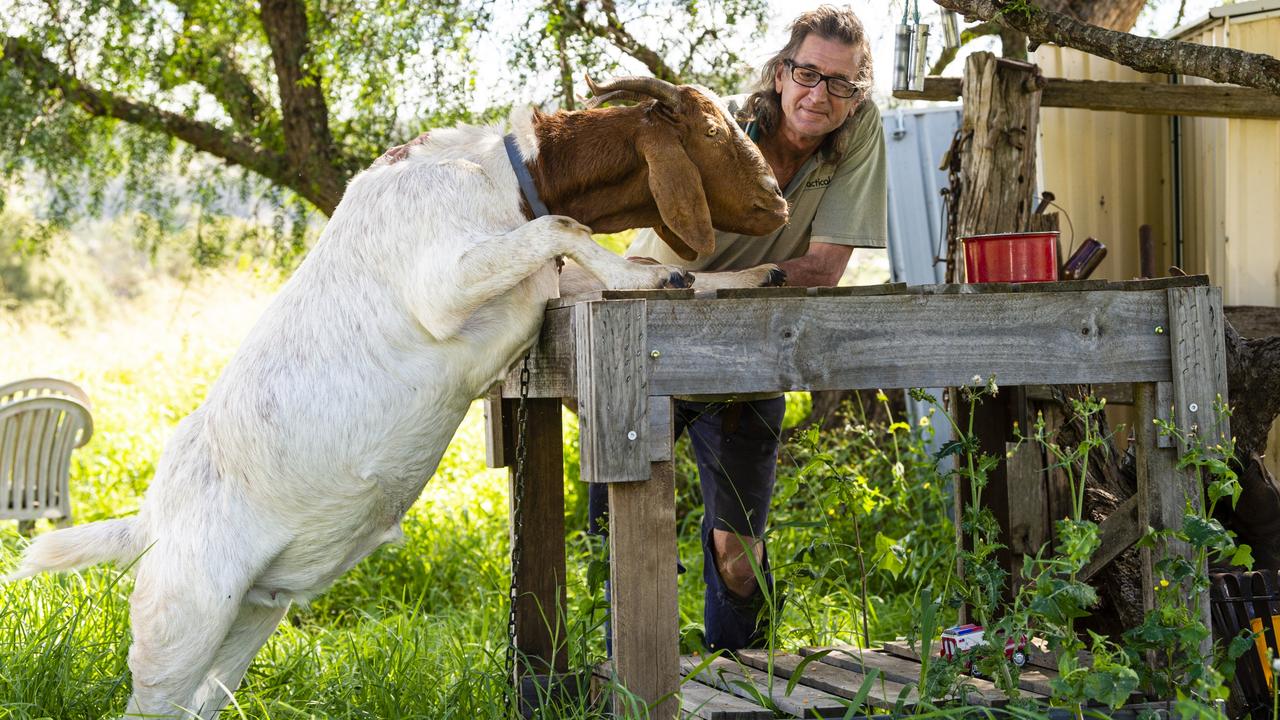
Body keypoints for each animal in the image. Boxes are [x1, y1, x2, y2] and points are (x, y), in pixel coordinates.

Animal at [2, 75, 788, 712]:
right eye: (712, 128)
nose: (779, 201)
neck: (498, 174)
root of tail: (152, 520)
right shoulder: (445, 283)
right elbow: (560, 228)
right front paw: (647, 274)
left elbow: (611, 258)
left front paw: (744, 277)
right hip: (180, 625)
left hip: (246, 620)